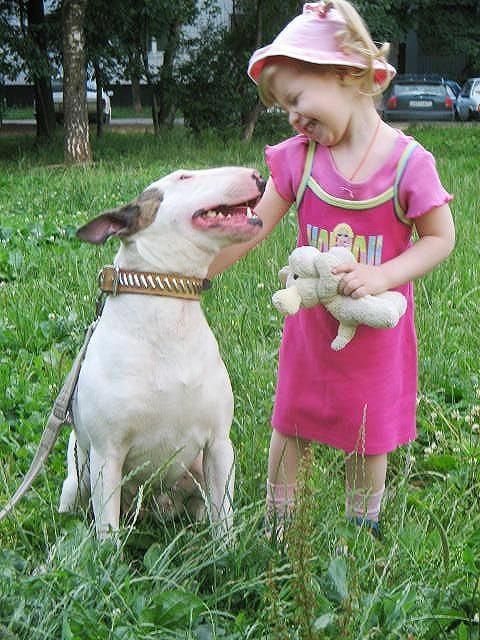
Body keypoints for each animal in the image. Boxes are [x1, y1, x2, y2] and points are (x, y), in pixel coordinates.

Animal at [0, 166, 264, 540]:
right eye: (184, 177)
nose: (257, 174)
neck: (167, 308)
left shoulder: (218, 446)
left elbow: (223, 520)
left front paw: (226, 551)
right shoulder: (107, 455)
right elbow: (108, 530)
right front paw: (108, 556)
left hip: (196, 471)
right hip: (78, 477)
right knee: (73, 506)